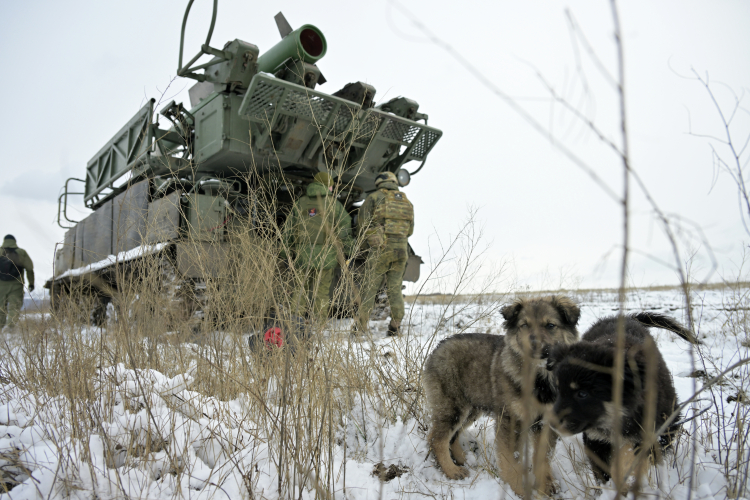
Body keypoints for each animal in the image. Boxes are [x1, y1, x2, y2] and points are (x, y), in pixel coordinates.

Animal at [424, 294, 580, 494]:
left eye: (550, 325)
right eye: (524, 325)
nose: (534, 345)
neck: (539, 377)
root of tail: (438, 347)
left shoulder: (545, 421)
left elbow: (542, 457)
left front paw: (546, 485)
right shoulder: (510, 419)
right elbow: (511, 460)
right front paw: (518, 491)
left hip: (472, 407)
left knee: (453, 436)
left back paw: (463, 460)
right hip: (453, 406)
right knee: (438, 439)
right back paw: (452, 471)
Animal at [548, 314, 700, 486]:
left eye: (582, 394)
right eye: (558, 389)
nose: (551, 424)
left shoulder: (657, 430)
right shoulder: (597, 440)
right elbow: (602, 473)